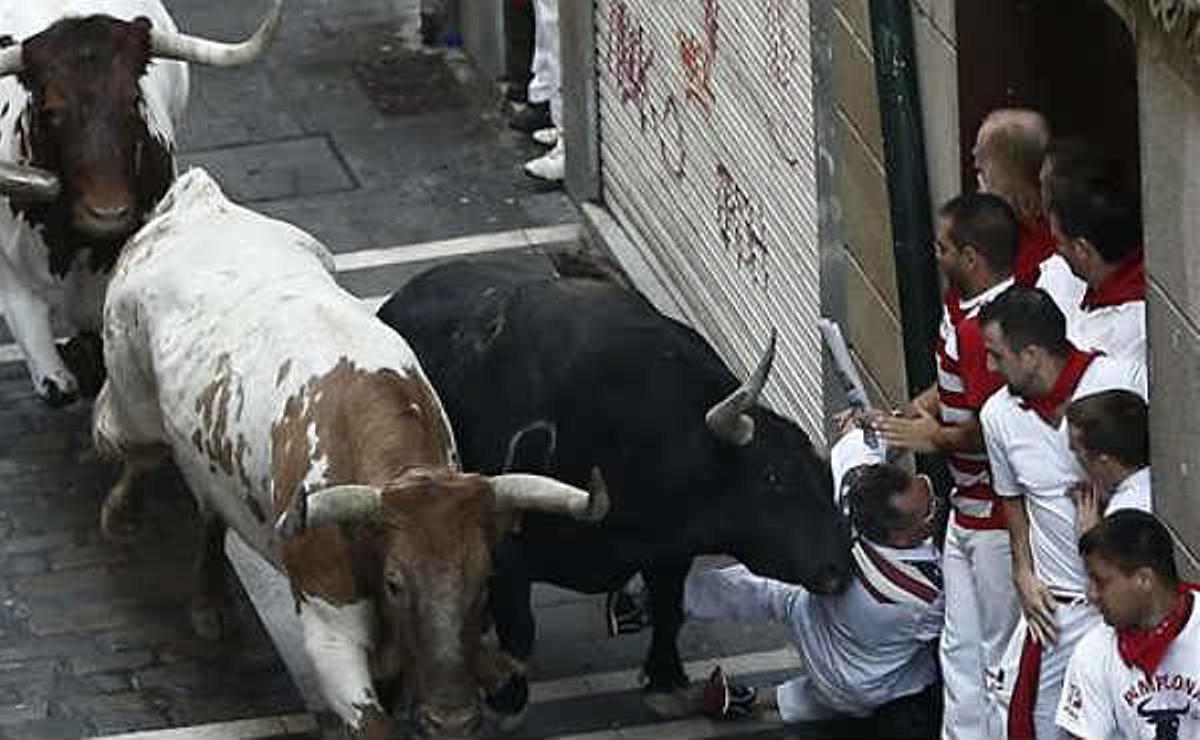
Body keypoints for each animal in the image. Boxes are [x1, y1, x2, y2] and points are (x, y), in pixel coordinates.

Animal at [91, 169, 609, 738]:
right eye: (395, 583)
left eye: (483, 581)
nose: (451, 719)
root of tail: (198, 200)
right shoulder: (330, 632)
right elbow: (372, 722)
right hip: (132, 395)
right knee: (133, 446)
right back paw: (123, 518)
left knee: (209, 506)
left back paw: (209, 604)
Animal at [374, 261, 854, 705]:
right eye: (773, 477)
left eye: (822, 474)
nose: (838, 570)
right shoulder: (507, 549)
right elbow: (520, 627)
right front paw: (505, 696)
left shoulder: (671, 547)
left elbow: (670, 607)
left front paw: (666, 677)